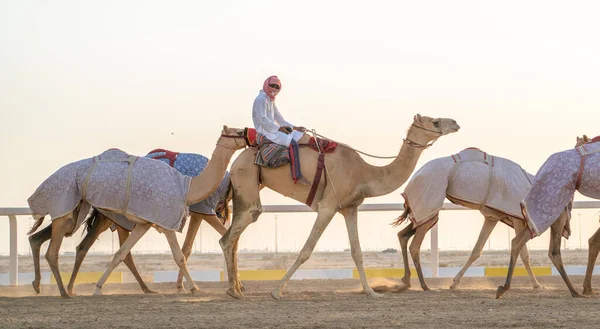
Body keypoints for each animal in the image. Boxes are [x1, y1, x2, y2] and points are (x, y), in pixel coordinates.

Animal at [25, 124, 246, 296]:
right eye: (238, 131)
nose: (250, 135)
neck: (188, 186)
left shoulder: (146, 222)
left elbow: (121, 253)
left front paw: (98, 288)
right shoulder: (172, 218)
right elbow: (180, 255)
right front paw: (195, 288)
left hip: (81, 209)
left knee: (55, 240)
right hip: (69, 204)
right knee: (56, 250)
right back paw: (63, 291)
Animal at [219, 114, 460, 298]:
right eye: (435, 122)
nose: (455, 123)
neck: (364, 174)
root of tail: (237, 159)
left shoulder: (349, 208)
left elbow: (357, 252)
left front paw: (371, 292)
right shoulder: (328, 205)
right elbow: (306, 250)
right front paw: (277, 291)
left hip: (246, 190)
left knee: (232, 238)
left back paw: (237, 288)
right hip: (247, 180)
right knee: (231, 235)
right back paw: (233, 291)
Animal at [392, 147, 548, 290]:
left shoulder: (492, 216)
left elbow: (476, 250)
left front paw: (455, 283)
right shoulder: (517, 217)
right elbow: (524, 253)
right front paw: (537, 285)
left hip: (423, 212)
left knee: (402, 235)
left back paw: (406, 280)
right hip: (428, 203)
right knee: (414, 246)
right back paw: (424, 286)